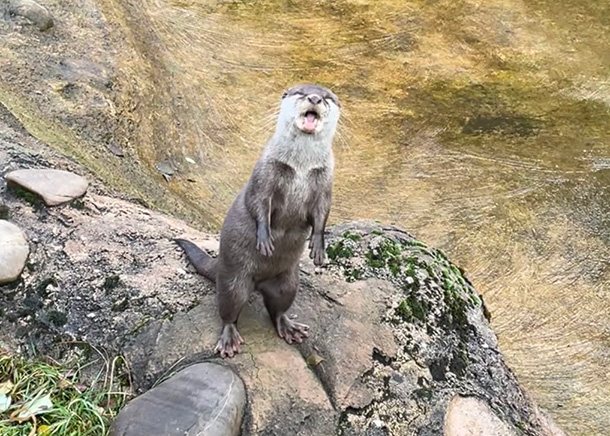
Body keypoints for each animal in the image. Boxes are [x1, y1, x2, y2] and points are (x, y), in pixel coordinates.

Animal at [173, 84, 340, 358]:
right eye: (301, 92)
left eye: (327, 97)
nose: (314, 98)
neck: (300, 168)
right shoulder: (265, 173)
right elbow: (258, 204)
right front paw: (264, 239)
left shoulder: (324, 181)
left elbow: (322, 214)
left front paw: (318, 248)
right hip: (233, 280)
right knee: (228, 311)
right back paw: (229, 339)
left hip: (289, 281)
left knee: (278, 308)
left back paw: (289, 327)